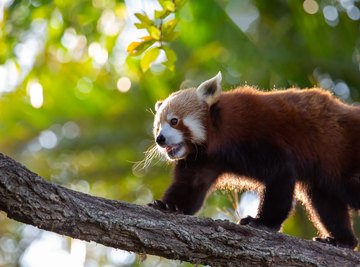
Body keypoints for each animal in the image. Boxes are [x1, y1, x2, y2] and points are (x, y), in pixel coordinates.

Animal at [148, 72, 360, 250]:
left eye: (174, 121)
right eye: (157, 127)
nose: (160, 139)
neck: (217, 133)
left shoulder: (256, 135)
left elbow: (280, 174)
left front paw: (263, 222)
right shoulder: (203, 159)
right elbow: (191, 186)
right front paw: (168, 205)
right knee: (326, 204)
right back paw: (343, 241)